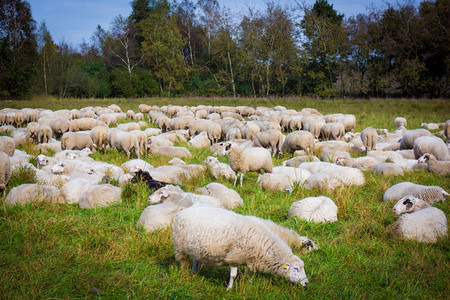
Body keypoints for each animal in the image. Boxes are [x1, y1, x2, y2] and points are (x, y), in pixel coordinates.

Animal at [174, 205, 314, 290]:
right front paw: (229, 289)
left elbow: (250, 274)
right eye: (295, 268)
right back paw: (184, 274)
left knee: (195, 259)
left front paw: (249, 285)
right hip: (180, 246)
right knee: (182, 261)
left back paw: (194, 272)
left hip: (195, 247)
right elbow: (233, 275)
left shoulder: (251, 259)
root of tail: (186, 209)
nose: (307, 283)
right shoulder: (235, 257)